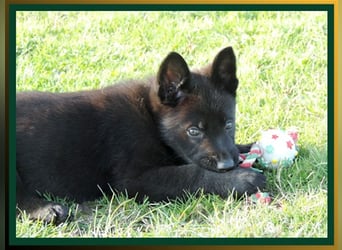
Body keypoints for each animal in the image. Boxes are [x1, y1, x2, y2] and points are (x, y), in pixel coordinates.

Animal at [16, 47, 266, 225]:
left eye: (229, 125)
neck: (151, 118)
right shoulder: (132, 179)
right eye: (194, 131)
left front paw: (251, 148)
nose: (227, 166)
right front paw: (241, 179)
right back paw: (47, 210)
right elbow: (190, 173)